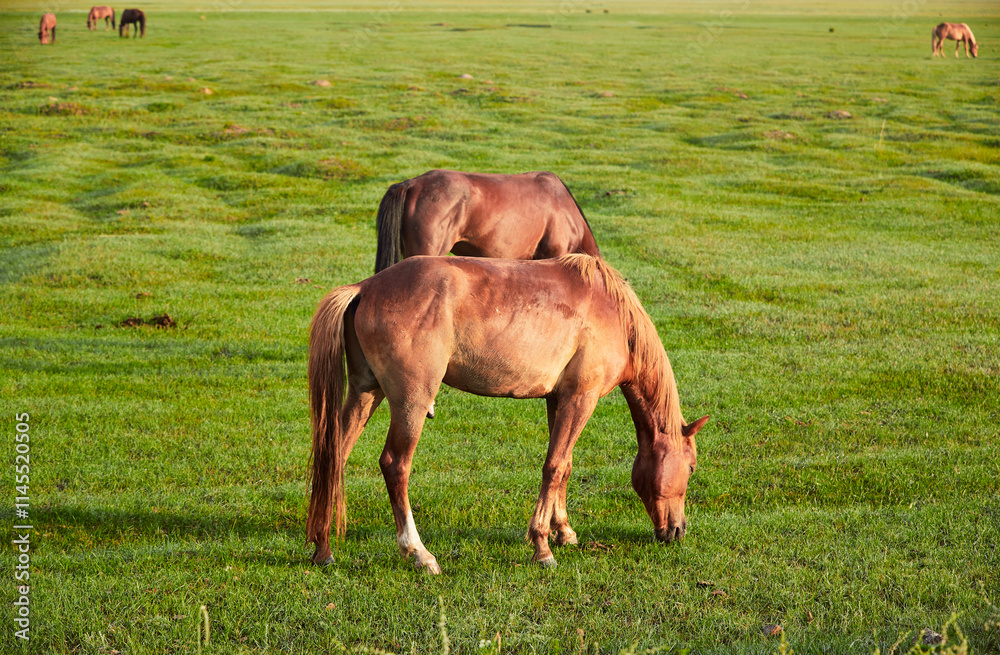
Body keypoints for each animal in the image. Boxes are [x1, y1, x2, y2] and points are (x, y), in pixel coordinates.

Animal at [306, 254, 709, 573]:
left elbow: (564, 465)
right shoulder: (581, 398)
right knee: (395, 465)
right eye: (690, 468)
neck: (611, 312)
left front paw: (563, 531)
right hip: (411, 402)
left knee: (334, 456)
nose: (678, 530)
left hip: (365, 393)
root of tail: (365, 287)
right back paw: (419, 553)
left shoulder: (558, 399)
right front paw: (542, 546)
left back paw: (323, 548)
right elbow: (555, 466)